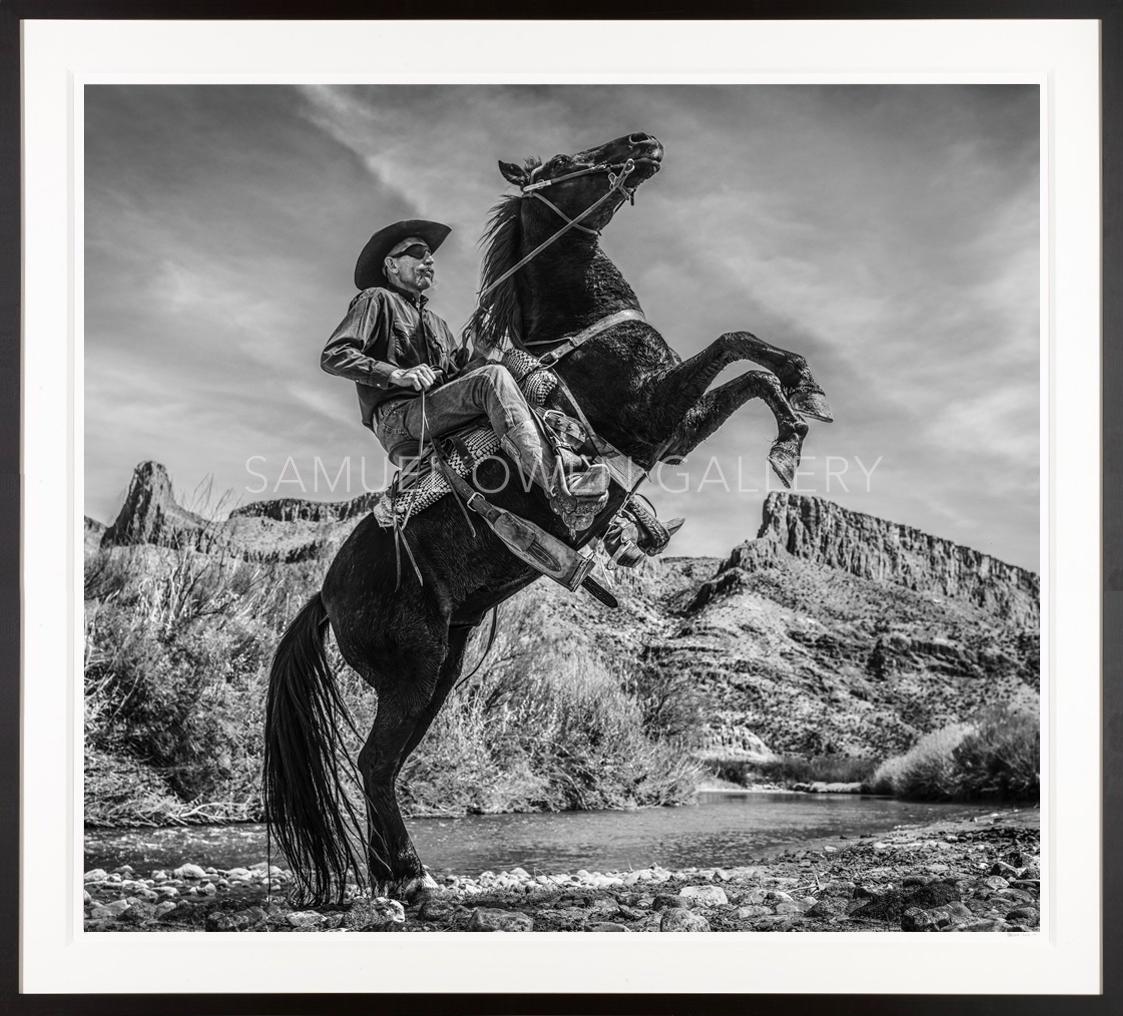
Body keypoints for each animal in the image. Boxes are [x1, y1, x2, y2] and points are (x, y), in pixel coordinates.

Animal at [260, 129, 826, 902]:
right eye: (561, 164)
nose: (643, 142)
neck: (575, 333)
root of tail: (325, 595)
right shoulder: (656, 417)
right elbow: (738, 352)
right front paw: (790, 435)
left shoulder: (671, 425)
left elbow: (749, 356)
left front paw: (801, 395)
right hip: (412, 671)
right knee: (375, 763)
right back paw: (407, 877)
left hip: (439, 671)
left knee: (384, 765)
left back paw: (397, 873)